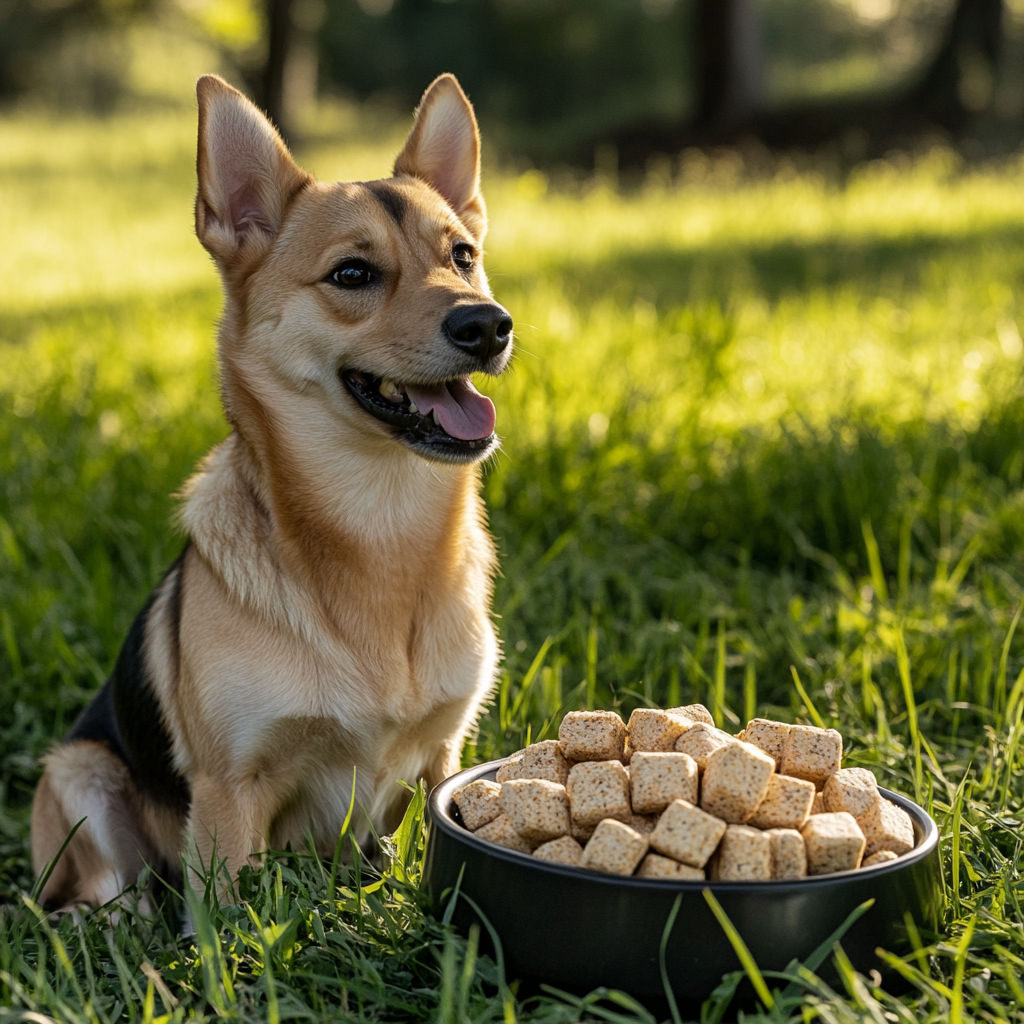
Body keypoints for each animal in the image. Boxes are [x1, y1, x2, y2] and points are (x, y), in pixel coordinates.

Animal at [29, 70, 512, 905]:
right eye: (352, 274)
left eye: (462, 255)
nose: (488, 324)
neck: (379, 520)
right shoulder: (229, 788)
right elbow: (224, 915)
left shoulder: (440, 759)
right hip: (80, 772)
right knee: (113, 882)